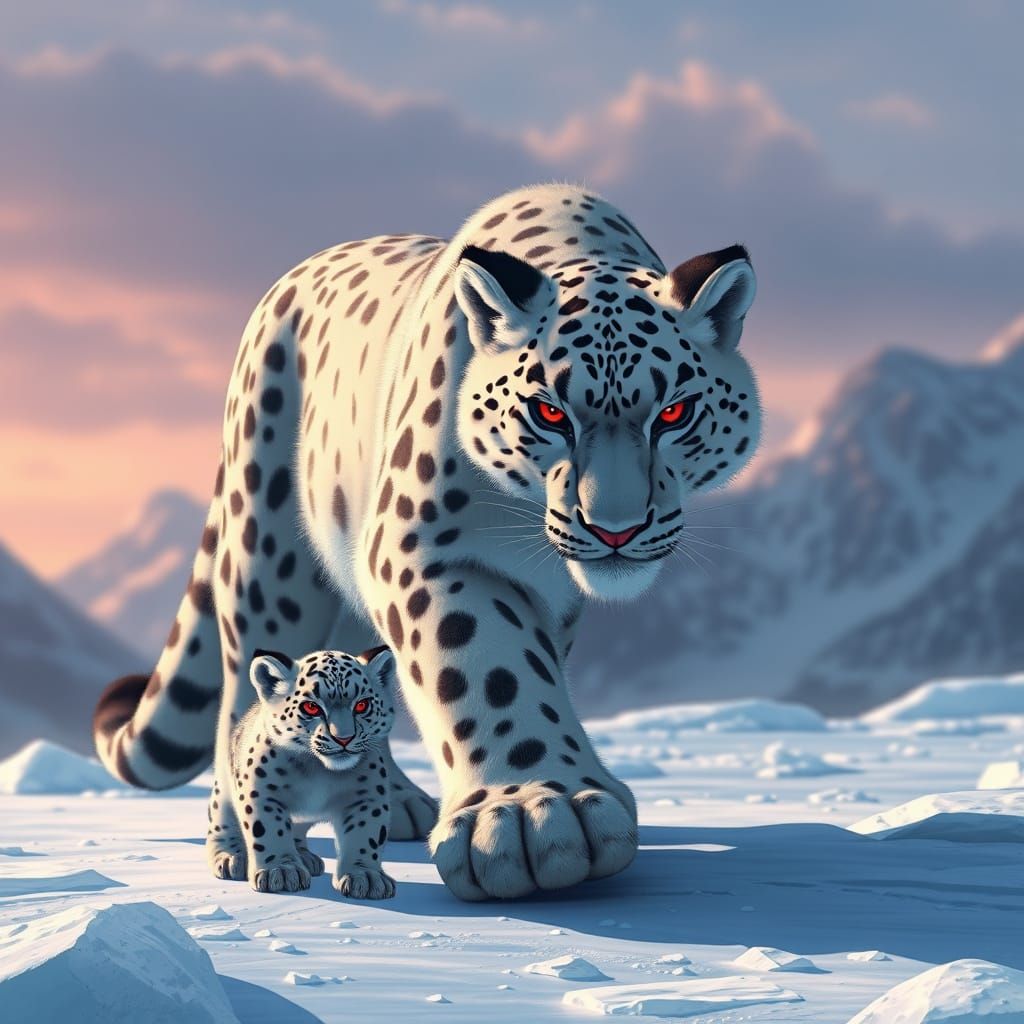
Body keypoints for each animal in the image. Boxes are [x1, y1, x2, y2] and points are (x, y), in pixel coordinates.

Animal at [214, 646, 397, 898]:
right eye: (311, 707)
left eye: (362, 705)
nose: (344, 738)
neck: (318, 772)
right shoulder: (261, 793)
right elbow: (268, 830)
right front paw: (281, 871)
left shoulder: (368, 796)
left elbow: (366, 835)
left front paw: (366, 877)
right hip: (224, 791)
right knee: (223, 821)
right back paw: (231, 858)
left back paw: (306, 858)